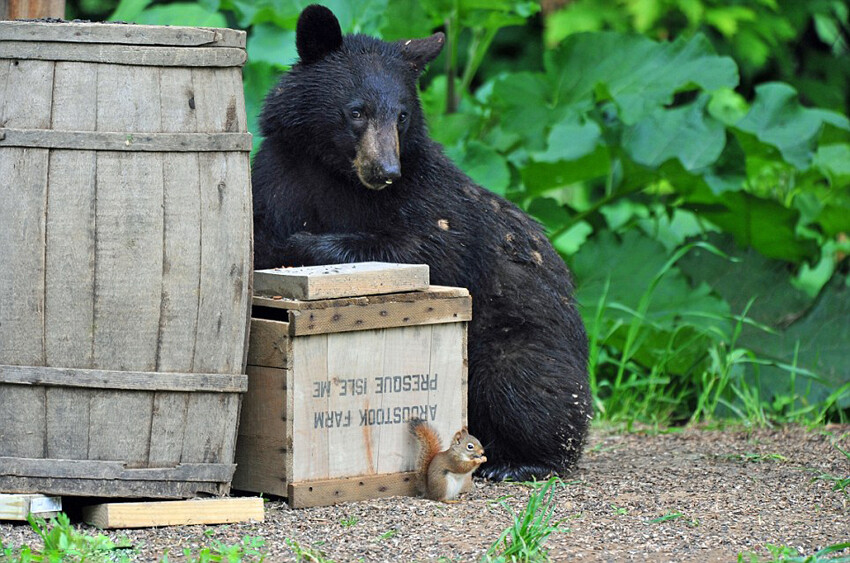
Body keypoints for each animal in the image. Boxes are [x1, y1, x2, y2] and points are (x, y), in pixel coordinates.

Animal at [252, 3, 588, 480]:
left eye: (402, 115)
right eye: (357, 111)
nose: (386, 171)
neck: (337, 174)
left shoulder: (429, 197)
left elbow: (429, 248)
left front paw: (306, 245)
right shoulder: (279, 174)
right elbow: (260, 228)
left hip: (518, 346)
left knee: (527, 388)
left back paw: (520, 462)